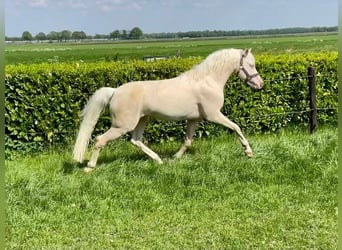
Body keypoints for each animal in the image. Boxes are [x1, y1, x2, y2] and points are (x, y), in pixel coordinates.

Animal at [73, 49, 264, 174]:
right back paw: (89, 167)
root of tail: (114, 91)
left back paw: (159, 160)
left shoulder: (194, 119)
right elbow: (236, 127)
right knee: (100, 139)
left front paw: (175, 158)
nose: (260, 84)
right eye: (251, 64)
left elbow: (188, 141)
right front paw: (248, 152)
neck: (207, 80)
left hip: (142, 120)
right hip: (122, 126)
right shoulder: (213, 115)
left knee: (136, 140)